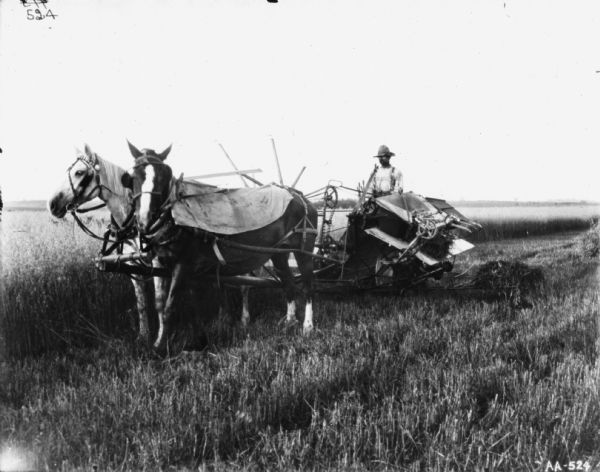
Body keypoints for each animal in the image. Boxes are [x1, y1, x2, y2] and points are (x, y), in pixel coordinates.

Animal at [122, 142, 318, 352]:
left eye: (164, 175)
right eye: (133, 176)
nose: (145, 220)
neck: (173, 216)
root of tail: (299, 197)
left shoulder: (184, 264)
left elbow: (170, 306)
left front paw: (161, 348)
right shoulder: (161, 262)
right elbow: (161, 303)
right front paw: (168, 340)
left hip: (303, 251)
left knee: (308, 286)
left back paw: (307, 326)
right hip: (278, 253)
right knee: (288, 284)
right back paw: (289, 322)